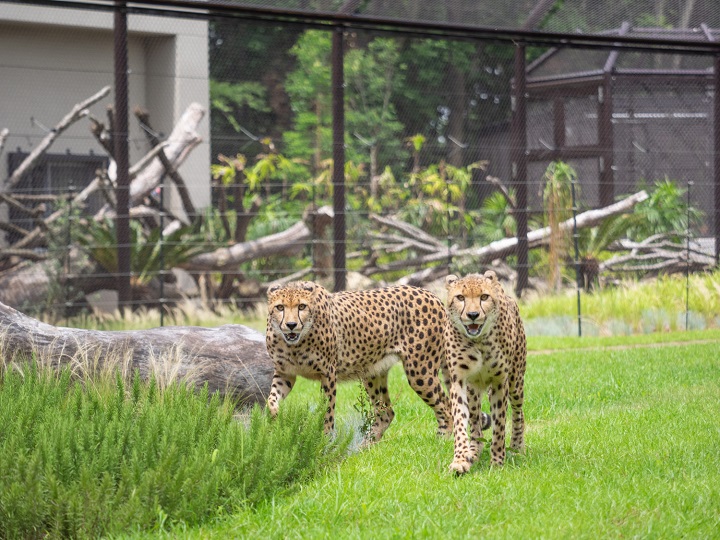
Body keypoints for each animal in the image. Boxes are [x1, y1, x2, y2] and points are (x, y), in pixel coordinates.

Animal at [268, 280, 452, 440]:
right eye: (280, 307)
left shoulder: (328, 374)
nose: (291, 325)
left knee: (446, 404)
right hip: (373, 373)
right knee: (386, 413)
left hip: (420, 373)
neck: (295, 344)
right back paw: (364, 446)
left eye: (302, 306)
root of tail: (431, 294)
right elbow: (271, 399)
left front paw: (325, 441)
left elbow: (327, 410)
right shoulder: (285, 373)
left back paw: (443, 440)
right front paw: (275, 418)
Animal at [442, 270, 524, 472]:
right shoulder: (459, 381)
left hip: (516, 383)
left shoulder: (500, 382)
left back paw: (517, 448)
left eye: (484, 297)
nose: (472, 314)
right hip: (473, 391)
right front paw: (460, 460)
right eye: (460, 297)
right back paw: (474, 450)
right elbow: (460, 421)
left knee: (519, 413)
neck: (478, 341)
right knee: (475, 421)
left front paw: (497, 462)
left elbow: (499, 425)